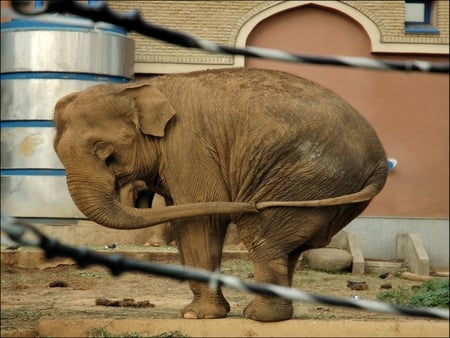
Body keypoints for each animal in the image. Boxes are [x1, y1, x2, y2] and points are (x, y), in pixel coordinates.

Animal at [54, 66, 388, 322]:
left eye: (103, 149)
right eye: (57, 151)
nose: (249, 204)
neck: (136, 88)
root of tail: (380, 160)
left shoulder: (187, 147)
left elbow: (200, 217)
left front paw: (197, 316)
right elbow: (185, 217)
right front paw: (198, 313)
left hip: (305, 175)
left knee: (263, 236)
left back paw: (259, 316)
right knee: (289, 244)